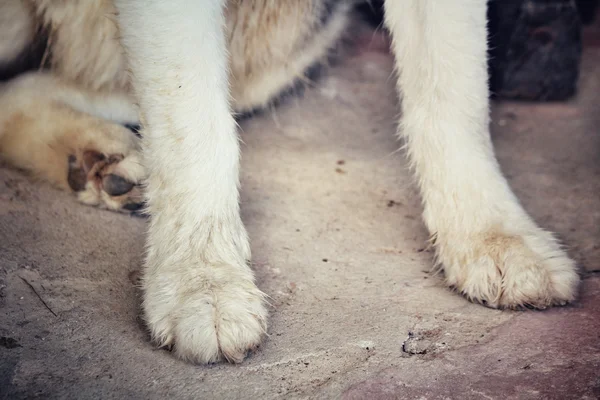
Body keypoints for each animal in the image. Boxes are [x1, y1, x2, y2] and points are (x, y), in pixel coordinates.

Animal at [1, 0, 580, 362]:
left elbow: (455, 90)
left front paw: (493, 234)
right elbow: (194, 124)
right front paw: (201, 279)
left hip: (283, 38)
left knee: (27, 85)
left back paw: (96, 160)